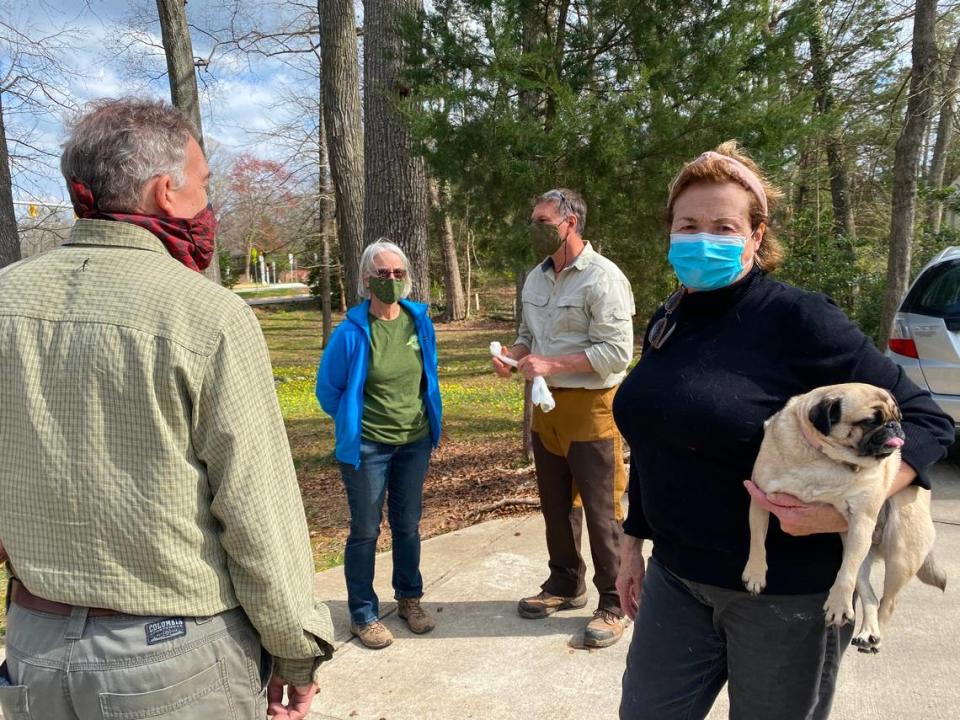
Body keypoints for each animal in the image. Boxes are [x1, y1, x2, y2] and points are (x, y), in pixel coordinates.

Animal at [744, 382, 944, 652]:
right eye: (870, 421)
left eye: (898, 418)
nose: (894, 426)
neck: (825, 458)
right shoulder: (760, 498)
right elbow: (757, 541)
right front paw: (755, 574)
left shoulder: (861, 520)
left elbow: (844, 575)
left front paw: (839, 605)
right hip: (860, 548)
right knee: (869, 595)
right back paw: (867, 631)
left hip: (899, 554)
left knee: (887, 600)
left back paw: (876, 636)